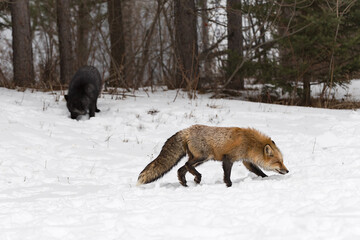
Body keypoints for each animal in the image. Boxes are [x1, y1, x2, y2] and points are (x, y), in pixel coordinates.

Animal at [136, 124, 288, 187]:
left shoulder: (246, 161)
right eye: (278, 162)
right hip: (202, 157)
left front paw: (266, 178)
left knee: (181, 169)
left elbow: (259, 172)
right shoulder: (228, 158)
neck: (250, 143)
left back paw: (184, 183)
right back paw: (197, 178)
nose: (287, 171)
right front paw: (229, 185)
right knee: (186, 165)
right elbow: (227, 175)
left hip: (200, 159)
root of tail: (186, 130)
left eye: (282, 161)